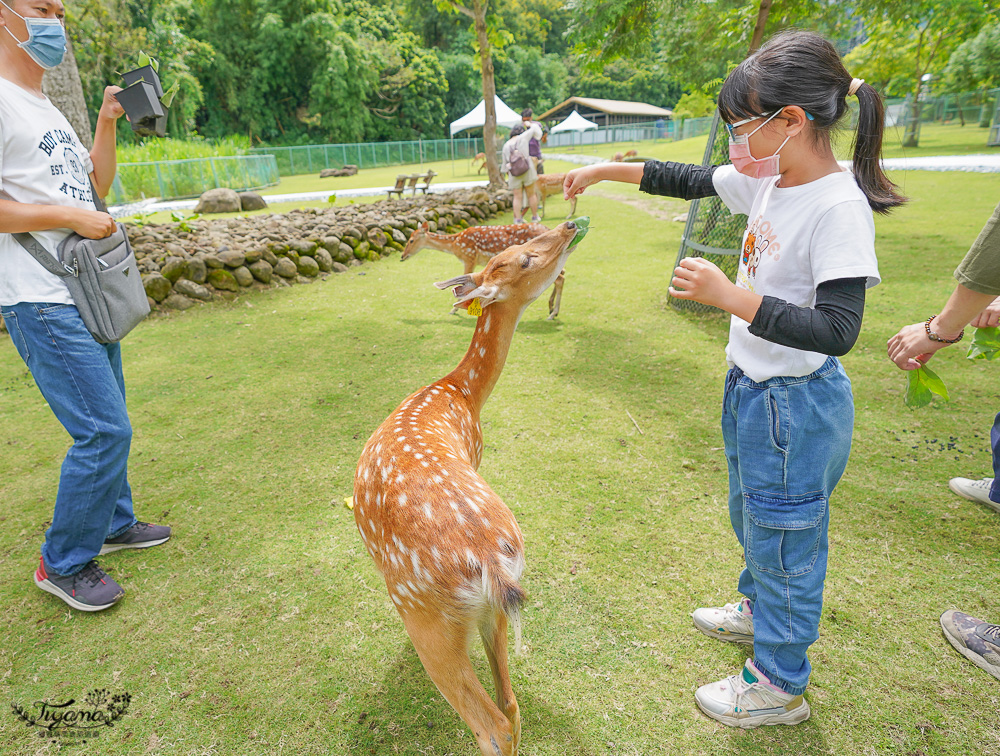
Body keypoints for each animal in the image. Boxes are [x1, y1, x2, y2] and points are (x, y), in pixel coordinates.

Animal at [400, 223, 572, 320]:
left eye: (411, 240)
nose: (402, 256)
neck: (455, 245)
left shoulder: (469, 258)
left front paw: (453, 310)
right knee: (562, 274)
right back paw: (551, 308)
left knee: (560, 278)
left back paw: (553, 313)